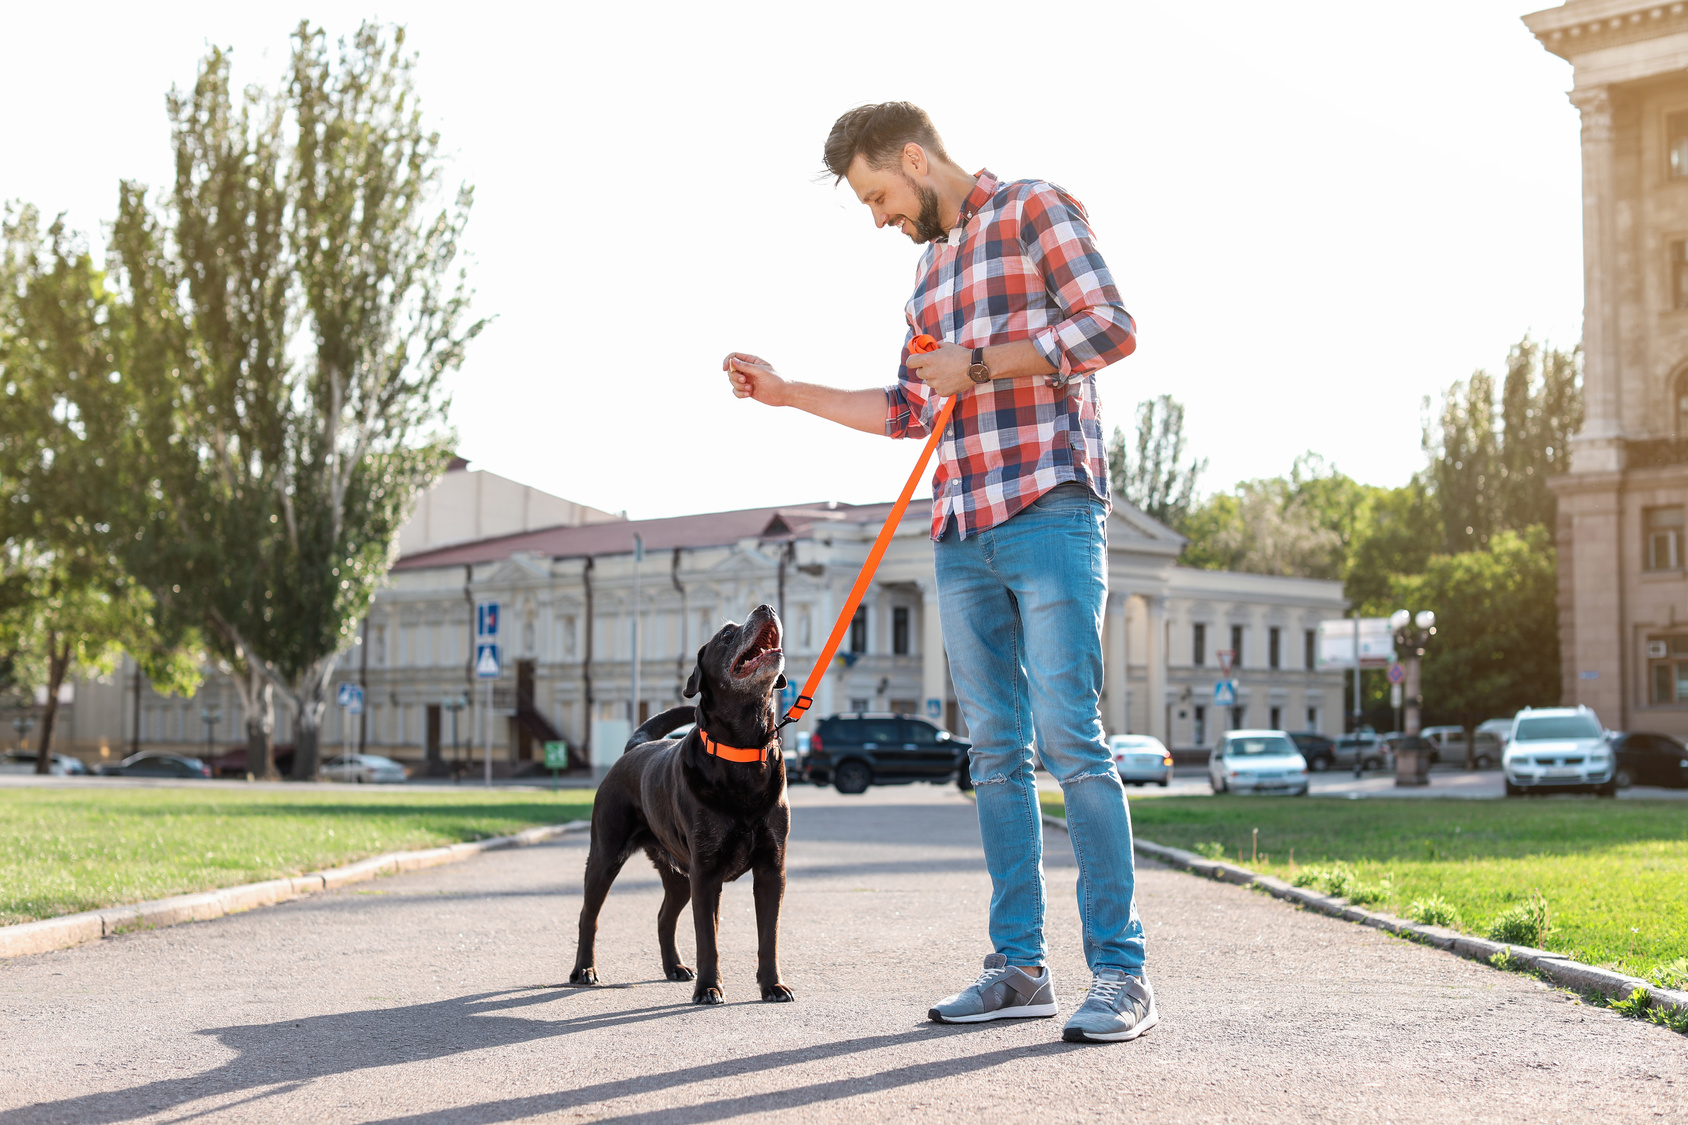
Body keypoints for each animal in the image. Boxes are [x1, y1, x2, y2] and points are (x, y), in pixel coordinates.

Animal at [570, 601, 793, 1000]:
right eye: (726, 634)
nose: (766, 606)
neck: (742, 752)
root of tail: (636, 746)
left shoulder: (772, 869)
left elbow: (769, 936)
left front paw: (773, 986)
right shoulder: (706, 872)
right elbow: (708, 938)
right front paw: (709, 989)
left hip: (676, 872)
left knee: (664, 916)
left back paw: (674, 967)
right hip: (605, 855)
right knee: (588, 916)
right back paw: (584, 970)